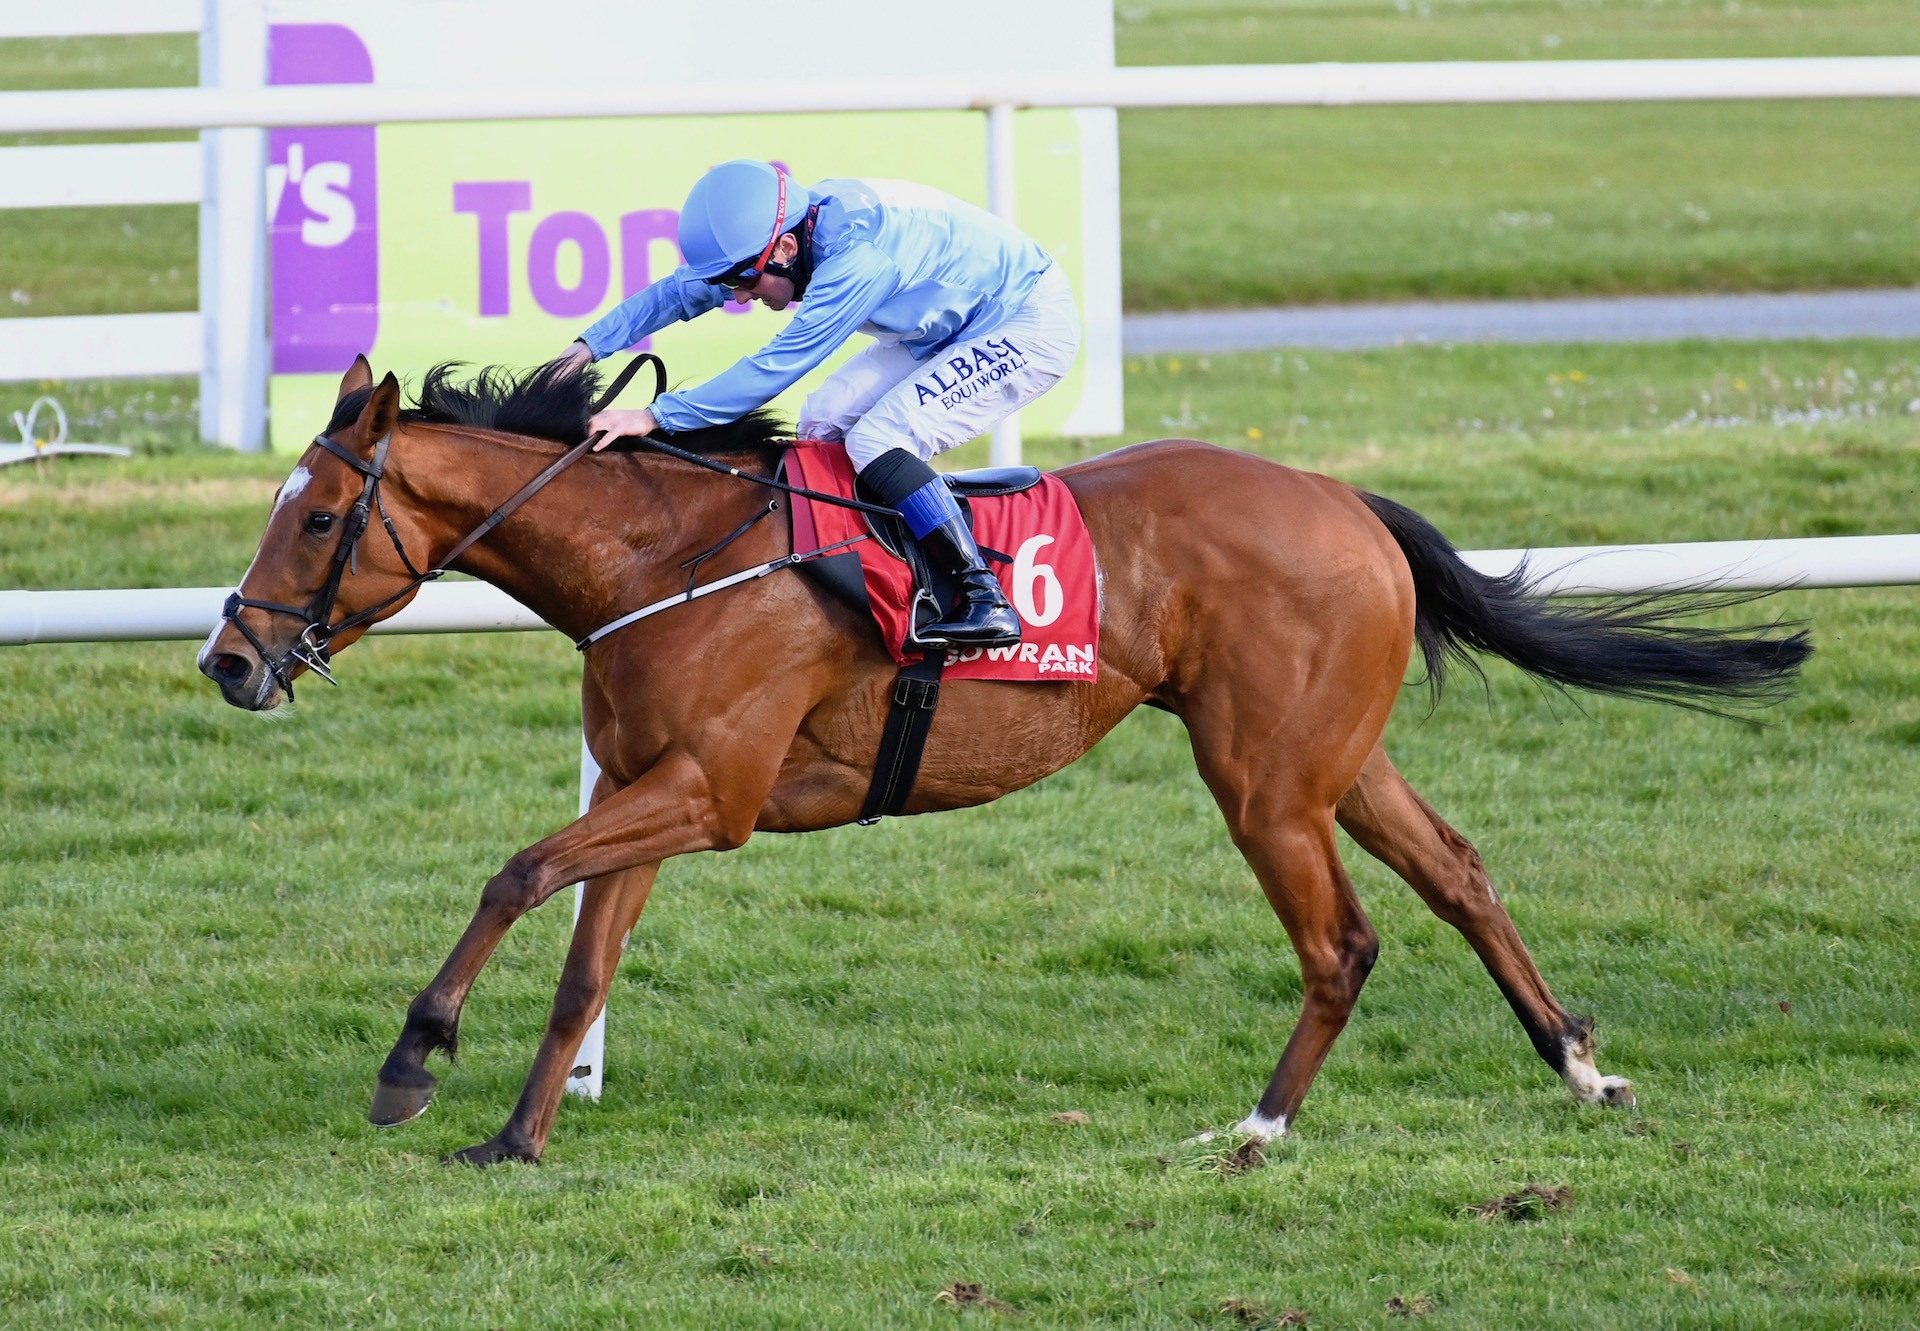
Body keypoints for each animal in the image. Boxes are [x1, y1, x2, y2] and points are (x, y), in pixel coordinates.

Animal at [202, 355, 1804, 1160]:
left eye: (322, 519)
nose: (228, 660)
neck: (667, 553)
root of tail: (1344, 497)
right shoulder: (657, 788)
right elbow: (585, 959)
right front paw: (517, 1138)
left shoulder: (708, 794)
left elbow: (516, 870)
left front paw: (413, 1060)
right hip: (1334, 755)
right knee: (1462, 875)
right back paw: (1580, 1066)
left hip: (1264, 777)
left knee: (1342, 938)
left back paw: (1261, 1121)